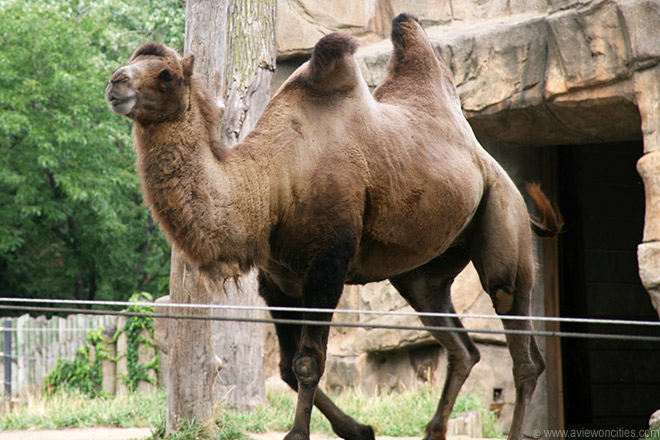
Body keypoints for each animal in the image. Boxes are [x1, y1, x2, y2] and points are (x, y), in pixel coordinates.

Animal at [106, 13, 561, 440]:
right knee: (463, 347)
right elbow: (286, 368)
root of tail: (492, 167)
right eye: (132, 60)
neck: (273, 182)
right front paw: (360, 429)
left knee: (521, 347)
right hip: (423, 275)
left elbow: (308, 363)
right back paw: (434, 429)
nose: (115, 82)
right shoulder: (278, 282)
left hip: (502, 217)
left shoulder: (327, 263)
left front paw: (300, 434)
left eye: (166, 74)